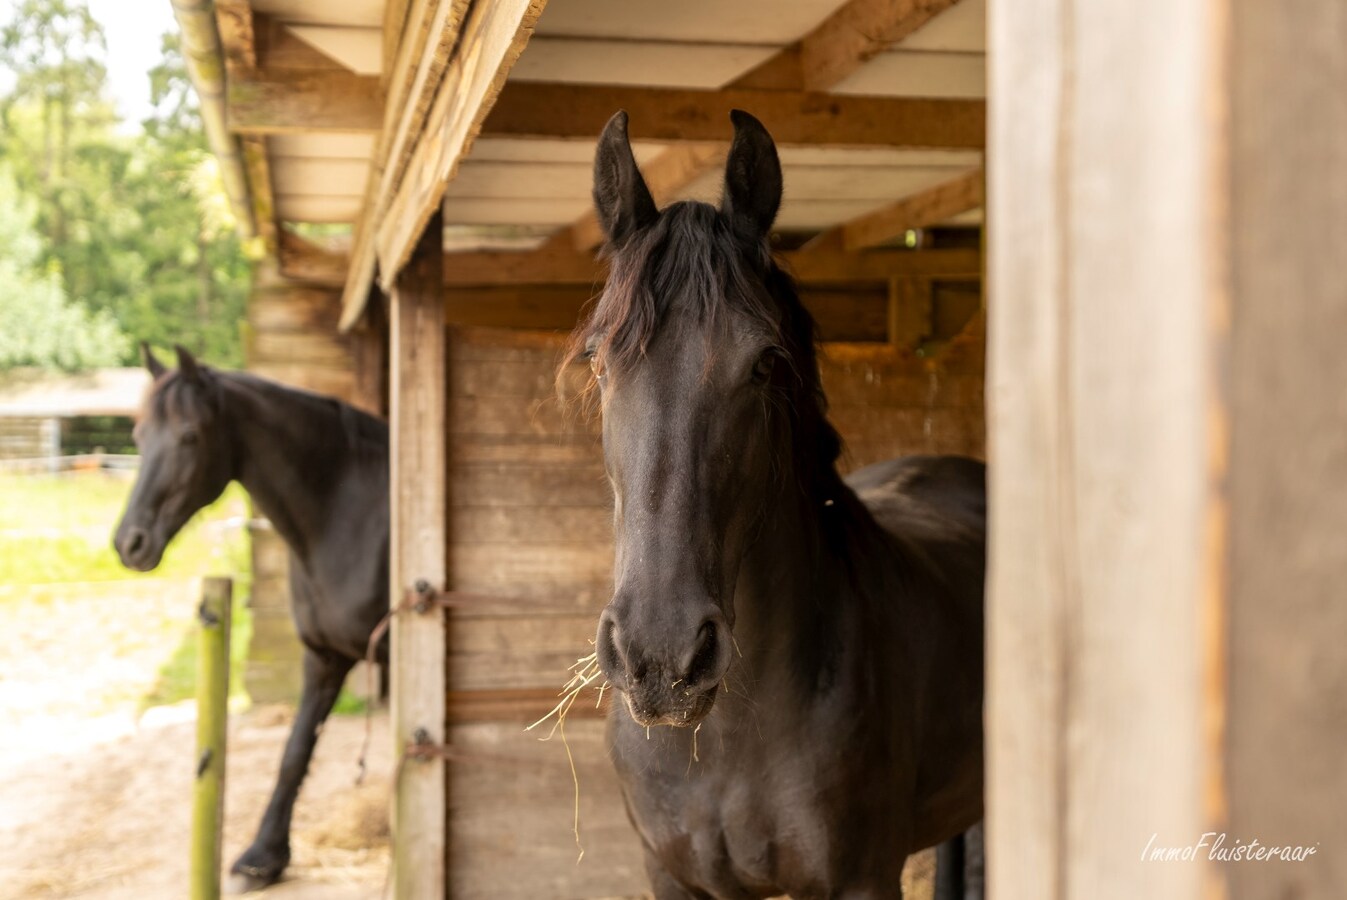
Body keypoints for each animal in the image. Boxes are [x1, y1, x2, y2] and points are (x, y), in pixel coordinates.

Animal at [115, 347, 390, 889]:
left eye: (189, 436)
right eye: (138, 436)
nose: (130, 543)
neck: (348, 516)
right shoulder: (323, 657)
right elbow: (294, 751)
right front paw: (264, 856)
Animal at [571, 114, 991, 900]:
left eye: (764, 363)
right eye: (597, 360)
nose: (660, 657)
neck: (727, 740)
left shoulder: (862, 878)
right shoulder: (671, 877)